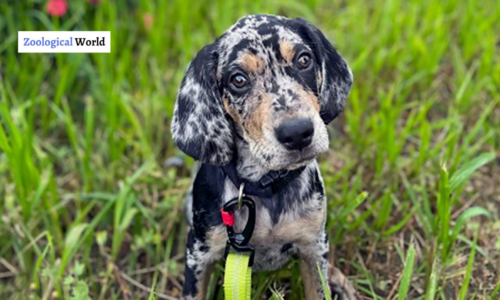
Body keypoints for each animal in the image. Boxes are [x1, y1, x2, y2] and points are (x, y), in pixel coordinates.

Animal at [172, 14, 356, 300]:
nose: (298, 132)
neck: (264, 186)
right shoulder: (199, 254)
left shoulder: (313, 247)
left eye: (304, 60)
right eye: (238, 79)